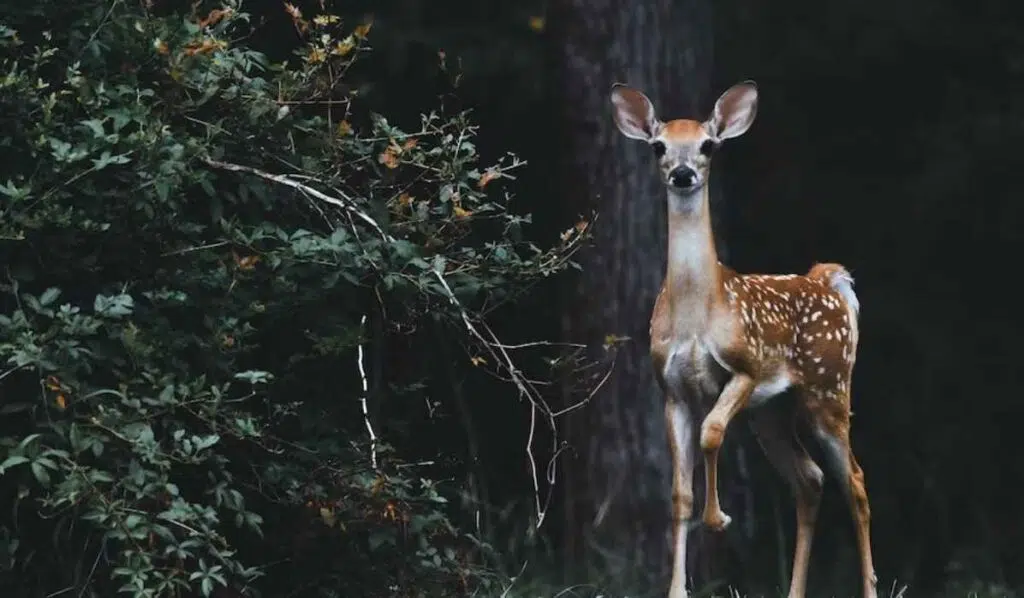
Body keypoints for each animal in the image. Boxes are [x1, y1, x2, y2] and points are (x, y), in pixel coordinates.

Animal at [609, 80, 877, 598]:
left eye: (708, 145)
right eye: (659, 147)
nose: (684, 174)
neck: (697, 315)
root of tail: (828, 280)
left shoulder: (746, 367)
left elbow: (713, 432)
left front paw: (719, 519)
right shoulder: (671, 389)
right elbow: (679, 492)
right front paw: (677, 589)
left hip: (829, 388)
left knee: (854, 480)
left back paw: (871, 589)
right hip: (772, 412)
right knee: (809, 479)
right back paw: (794, 591)